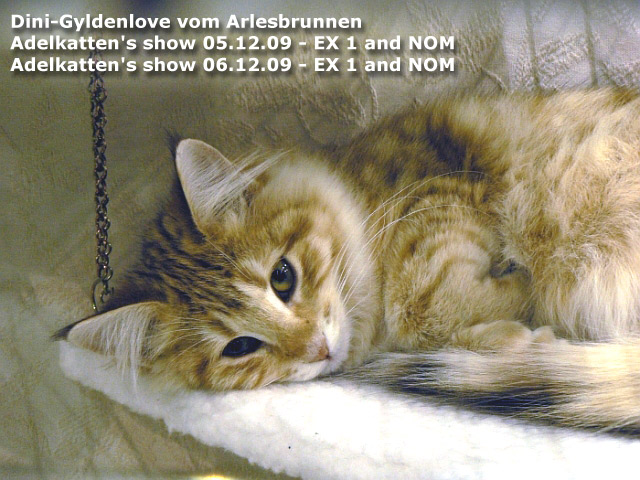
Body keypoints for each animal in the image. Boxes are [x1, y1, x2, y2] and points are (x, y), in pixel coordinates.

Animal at [55, 88, 640, 431]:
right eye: (239, 348)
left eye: (282, 278)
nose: (316, 347)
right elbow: (432, 312)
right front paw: (514, 332)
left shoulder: (441, 193)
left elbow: (422, 299)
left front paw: (518, 298)